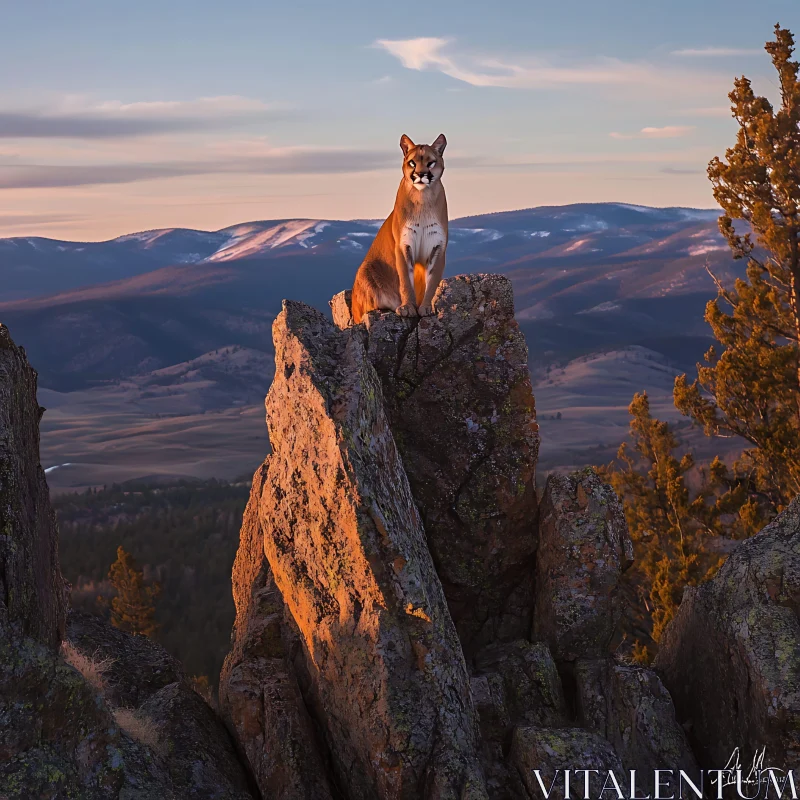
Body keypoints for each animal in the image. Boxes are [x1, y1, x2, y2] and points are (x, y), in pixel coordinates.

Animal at [352, 133, 446, 324]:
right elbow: (405, 281)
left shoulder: (437, 246)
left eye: (431, 162)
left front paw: (426, 307)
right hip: (366, 269)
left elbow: (432, 282)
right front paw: (408, 307)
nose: (420, 174)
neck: (422, 198)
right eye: (412, 163)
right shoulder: (404, 245)